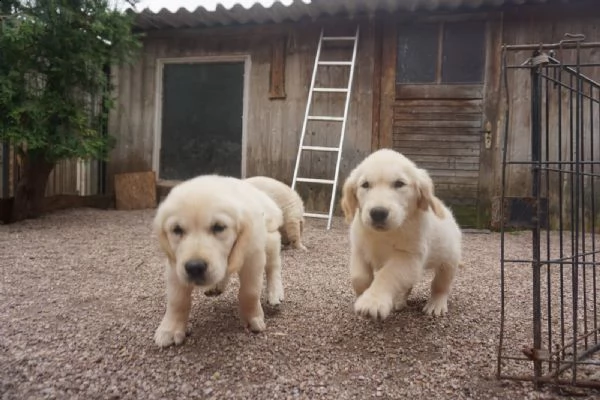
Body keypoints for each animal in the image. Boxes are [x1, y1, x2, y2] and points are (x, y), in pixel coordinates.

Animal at [155, 175, 286, 346]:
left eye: (219, 227)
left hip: (270, 239)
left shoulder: (253, 255)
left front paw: (253, 318)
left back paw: (276, 292)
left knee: (273, 267)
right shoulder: (176, 264)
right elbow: (177, 299)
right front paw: (170, 329)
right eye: (177, 229)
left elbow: (249, 292)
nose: (195, 267)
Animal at [340, 148, 462, 320]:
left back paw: (436, 304)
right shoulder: (359, 250)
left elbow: (388, 274)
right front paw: (363, 293)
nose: (378, 213)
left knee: (441, 284)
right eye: (365, 185)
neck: (385, 234)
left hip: (449, 259)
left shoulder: (408, 257)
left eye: (399, 184)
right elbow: (359, 277)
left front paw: (372, 301)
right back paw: (399, 300)